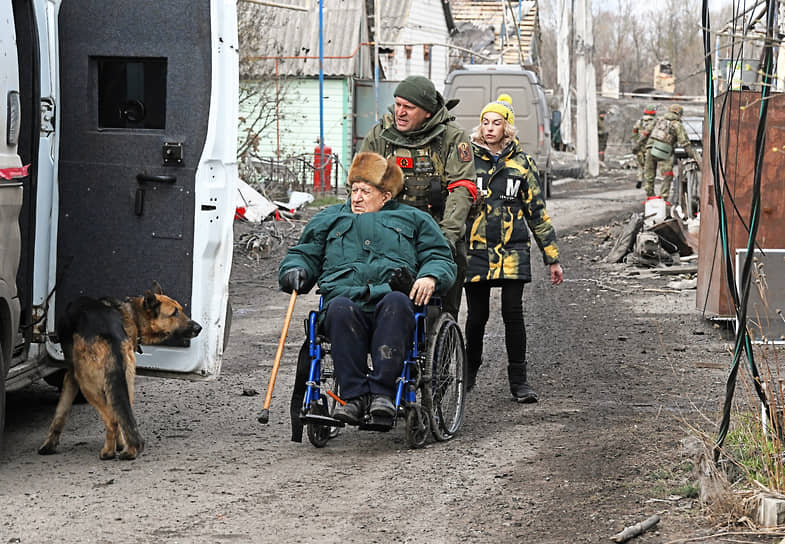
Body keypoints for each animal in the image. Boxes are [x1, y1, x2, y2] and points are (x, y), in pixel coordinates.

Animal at [39, 282, 202, 462]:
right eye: (175, 312)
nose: (199, 328)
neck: (132, 315)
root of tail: (109, 334)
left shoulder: (72, 376)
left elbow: (61, 412)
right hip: (126, 383)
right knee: (121, 416)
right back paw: (128, 448)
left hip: (88, 385)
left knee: (112, 420)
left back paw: (108, 452)